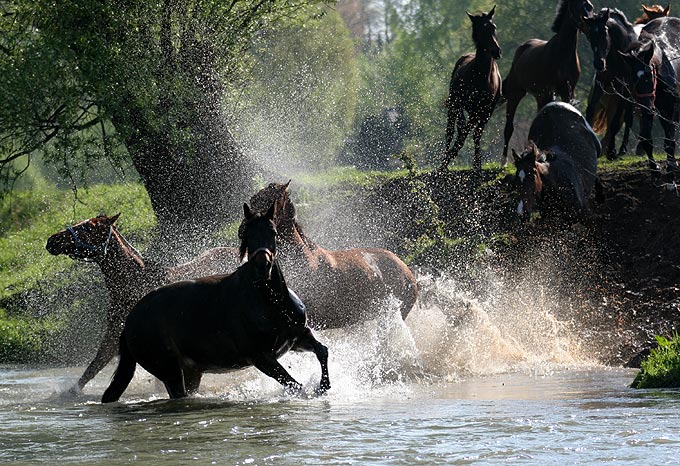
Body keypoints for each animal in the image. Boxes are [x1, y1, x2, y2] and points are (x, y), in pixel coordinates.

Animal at [46, 215, 240, 394]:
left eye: (88, 228)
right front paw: (70, 392)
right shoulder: (115, 331)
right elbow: (96, 363)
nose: (51, 240)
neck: (134, 282)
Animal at [101, 202, 332, 402]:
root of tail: (130, 321)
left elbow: (322, 351)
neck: (271, 302)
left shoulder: (298, 337)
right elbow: (295, 386)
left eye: (273, 232)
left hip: (190, 372)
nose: (262, 266)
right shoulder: (261, 358)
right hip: (169, 371)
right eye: (246, 234)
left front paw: (324, 387)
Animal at [440, 5, 500, 173]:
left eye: (493, 27)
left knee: (470, 132)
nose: (496, 51)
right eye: (480, 29)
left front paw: (477, 165)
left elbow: (473, 133)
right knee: (451, 131)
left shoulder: (484, 109)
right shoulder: (464, 106)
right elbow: (461, 133)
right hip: (455, 104)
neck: (480, 76)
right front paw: (445, 162)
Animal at [502, 0, 592, 166]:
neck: (564, 54)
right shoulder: (553, 90)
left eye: (590, 6)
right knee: (509, 127)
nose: (589, 26)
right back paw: (503, 161)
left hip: (540, 96)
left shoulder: (568, 91)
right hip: (516, 93)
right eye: (577, 6)